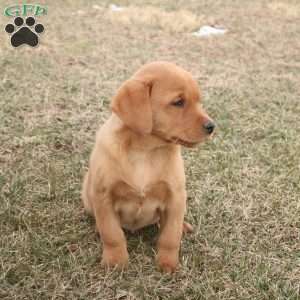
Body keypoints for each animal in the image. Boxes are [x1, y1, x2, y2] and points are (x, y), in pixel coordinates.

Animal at [81, 62, 214, 274]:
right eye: (178, 102)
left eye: (198, 102)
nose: (212, 126)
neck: (145, 151)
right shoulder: (103, 196)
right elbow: (112, 233)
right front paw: (115, 261)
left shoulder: (176, 197)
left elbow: (170, 236)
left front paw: (168, 264)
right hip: (87, 194)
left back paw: (183, 226)